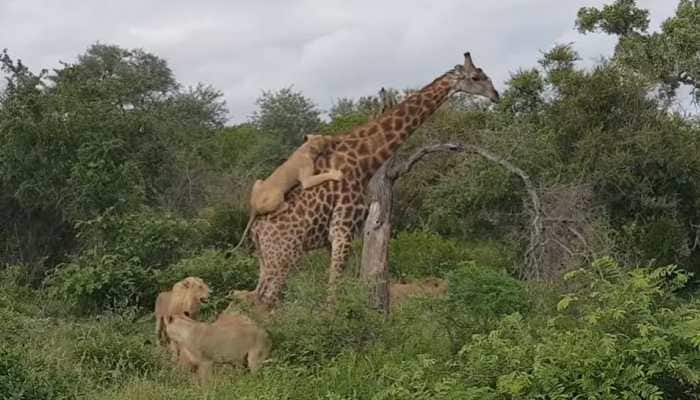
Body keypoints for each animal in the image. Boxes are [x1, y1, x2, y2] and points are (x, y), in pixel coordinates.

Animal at [246, 51, 498, 308]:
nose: (496, 95)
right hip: (283, 257)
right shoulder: (343, 229)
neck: (363, 161)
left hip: (265, 259)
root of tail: (255, 229)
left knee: (257, 297)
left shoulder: (334, 237)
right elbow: (334, 292)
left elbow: (336, 285)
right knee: (266, 299)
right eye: (476, 77)